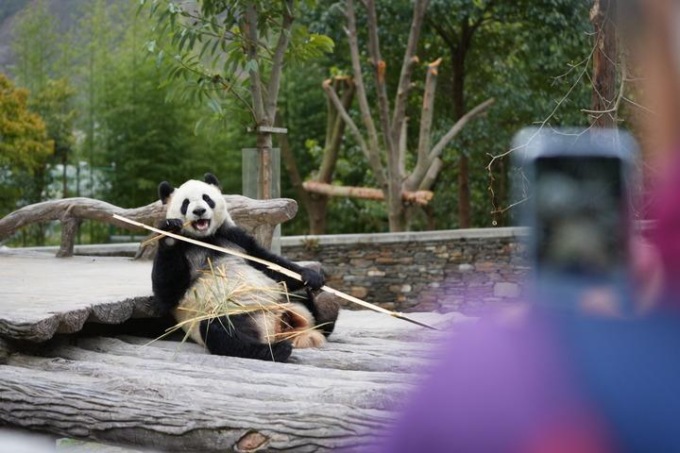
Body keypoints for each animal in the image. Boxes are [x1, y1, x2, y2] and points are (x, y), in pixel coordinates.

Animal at [151, 173, 338, 362]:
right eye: (186, 203)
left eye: (207, 198)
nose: (199, 211)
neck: (205, 238)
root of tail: (277, 327)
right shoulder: (185, 249)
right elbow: (168, 291)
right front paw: (170, 232)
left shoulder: (233, 237)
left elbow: (268, 261)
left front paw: (311, 275)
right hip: (232, 313)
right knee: (222, 332)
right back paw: (275, 350)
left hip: (283, 299)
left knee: (306, 303)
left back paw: (326, 306)